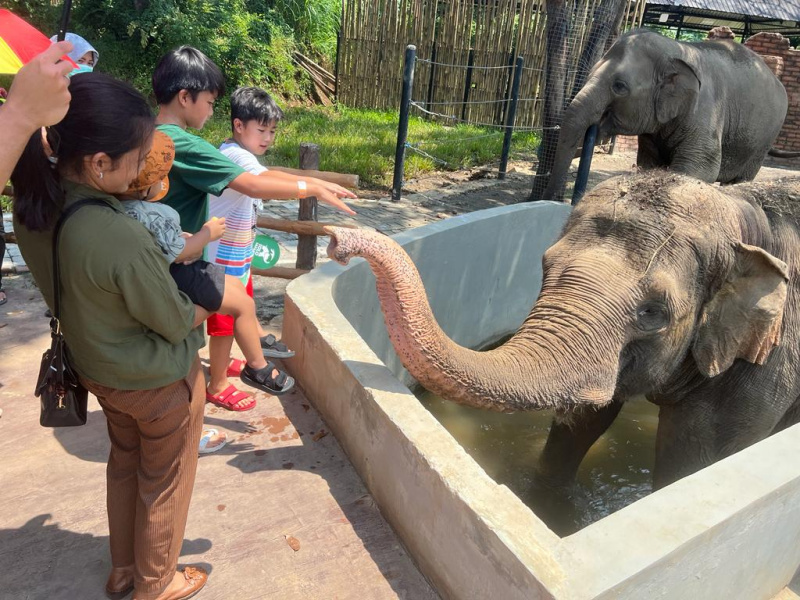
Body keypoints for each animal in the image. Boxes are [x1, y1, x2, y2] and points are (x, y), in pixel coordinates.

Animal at [324, 172, 800, 496]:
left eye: (653, 312)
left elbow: (692, 461)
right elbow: (583, 422)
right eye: (544, 266)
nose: (336, 241)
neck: (743, 215)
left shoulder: (765, 366)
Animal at [536, 29, 792, 203]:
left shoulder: (705, 111)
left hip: (763, 141)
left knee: (741, 179)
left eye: (619, 86)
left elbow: (701, 169)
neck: (676, 49)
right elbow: (649, 164)